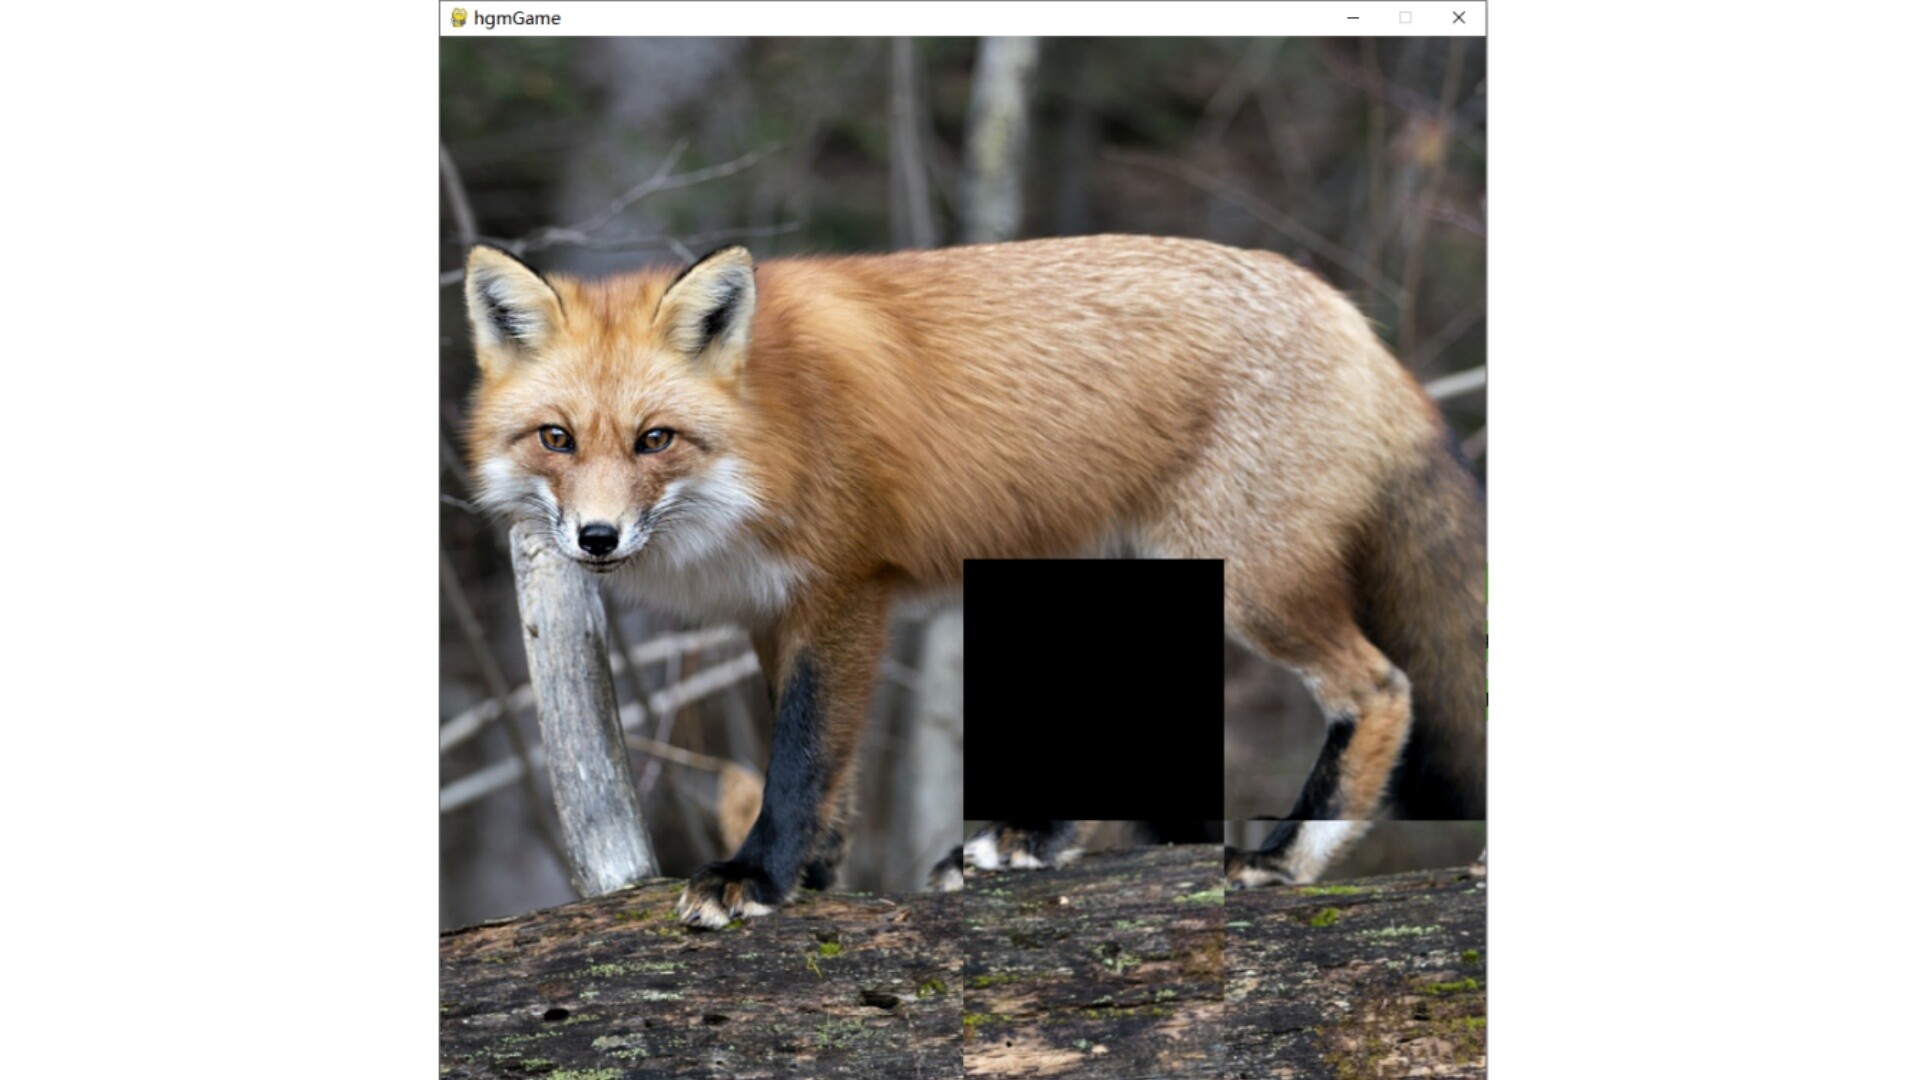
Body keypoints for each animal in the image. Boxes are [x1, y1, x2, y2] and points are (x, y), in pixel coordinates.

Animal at [461, 234, 1486, 927]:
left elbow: (802, 752)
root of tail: (1348, 311)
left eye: (655, 440)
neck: (772, 431)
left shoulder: (845, 588)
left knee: (1382, 687)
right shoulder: (771, 608)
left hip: (1248, 586)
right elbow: (832, 767)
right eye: (556, 438)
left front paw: (758, 875)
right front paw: (819, 873)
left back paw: (1278, 859)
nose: (596, 538)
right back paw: (1044, 839)